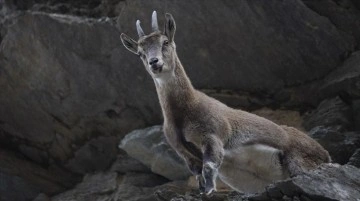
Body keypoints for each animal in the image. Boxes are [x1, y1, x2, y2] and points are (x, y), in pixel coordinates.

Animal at [120, 11, 330, 195]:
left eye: (165, 42)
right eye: (140, 53)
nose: (154, 62)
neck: (183, 111)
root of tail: (325, 153)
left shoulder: (212, 136)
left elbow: (210, 166)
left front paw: (210, 190)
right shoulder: (184, 153)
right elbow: (198, 175)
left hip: (299, 161)